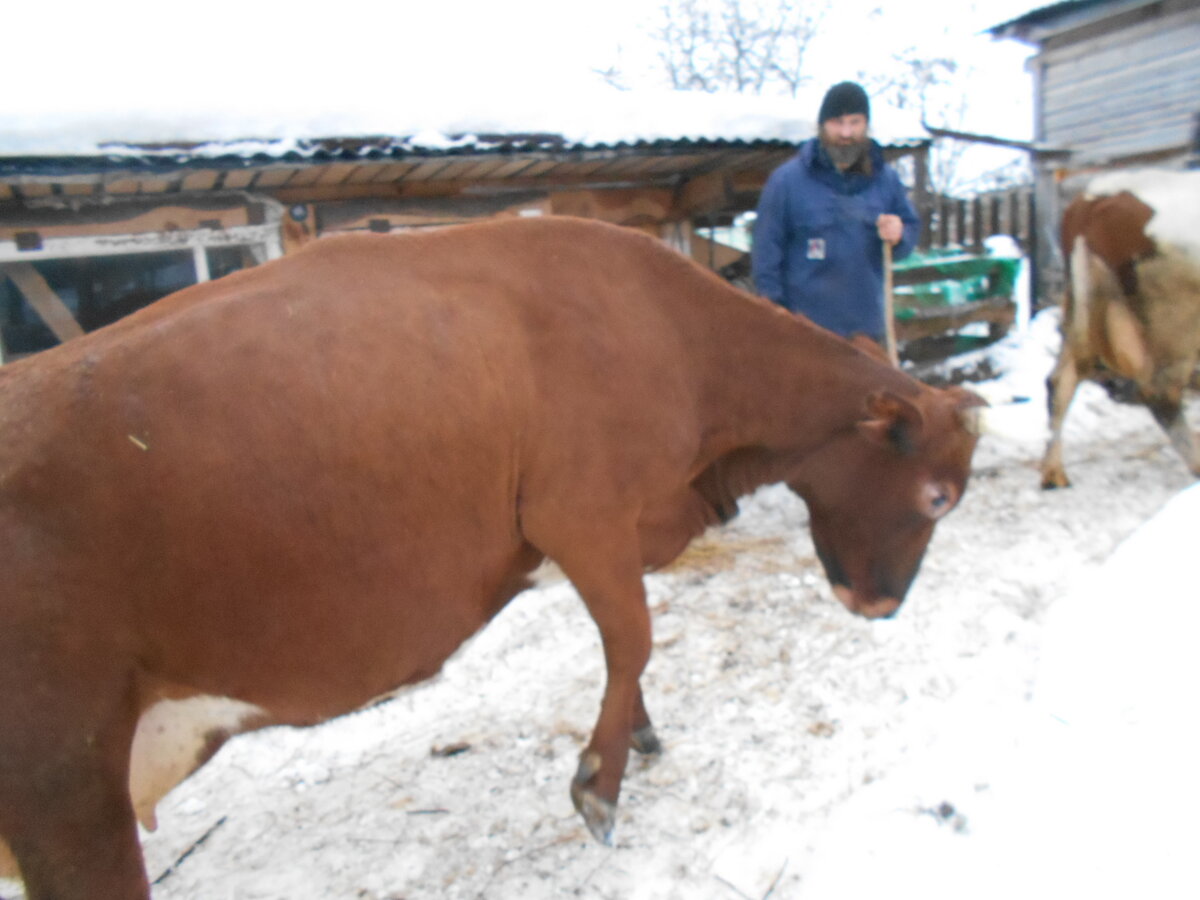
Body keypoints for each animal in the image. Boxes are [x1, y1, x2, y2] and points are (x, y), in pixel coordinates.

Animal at [0, 214, 984, 897]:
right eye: (936, 496)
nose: (883, 606)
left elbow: (627, 649)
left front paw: (638, 736)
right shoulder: (580, 511)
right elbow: (633, 638)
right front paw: (599, 785)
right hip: (63, 783)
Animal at [1041, 171, 1200, 489]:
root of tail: (1094, 200)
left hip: (1079, 305)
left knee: (1060, 381)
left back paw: (1054, 473)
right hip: (1175, 324)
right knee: (1160, 393)